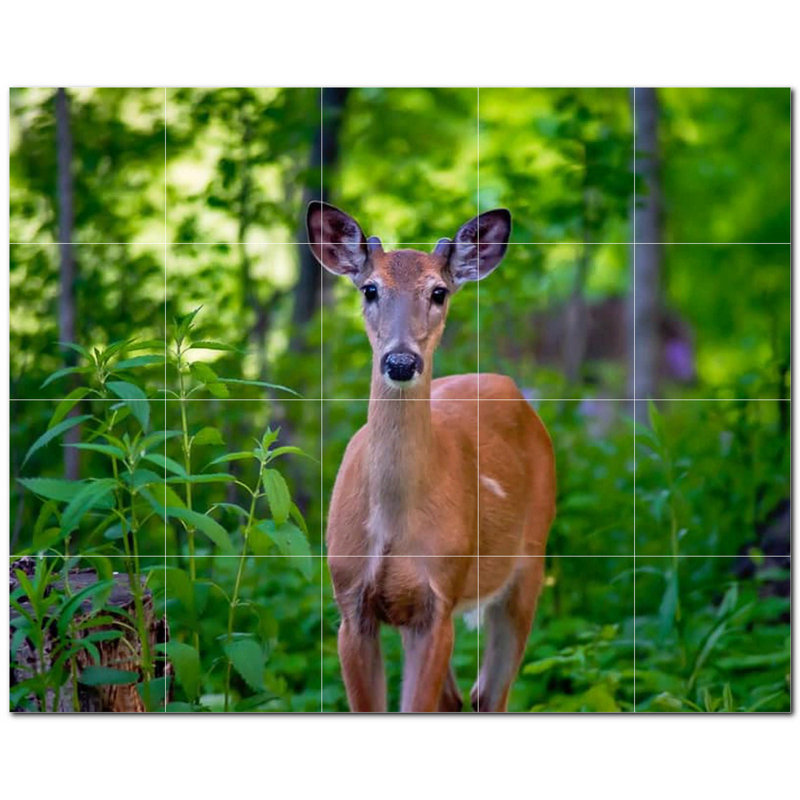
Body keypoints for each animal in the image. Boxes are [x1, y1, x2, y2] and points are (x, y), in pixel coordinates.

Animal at [307, 202, 556, 712]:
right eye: (370, 288)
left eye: (439, 292)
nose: (401, 362)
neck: (391, 524)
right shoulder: (351, 603)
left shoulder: (438, 598)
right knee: (460, 700)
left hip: (529, 562)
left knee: (489, 696)